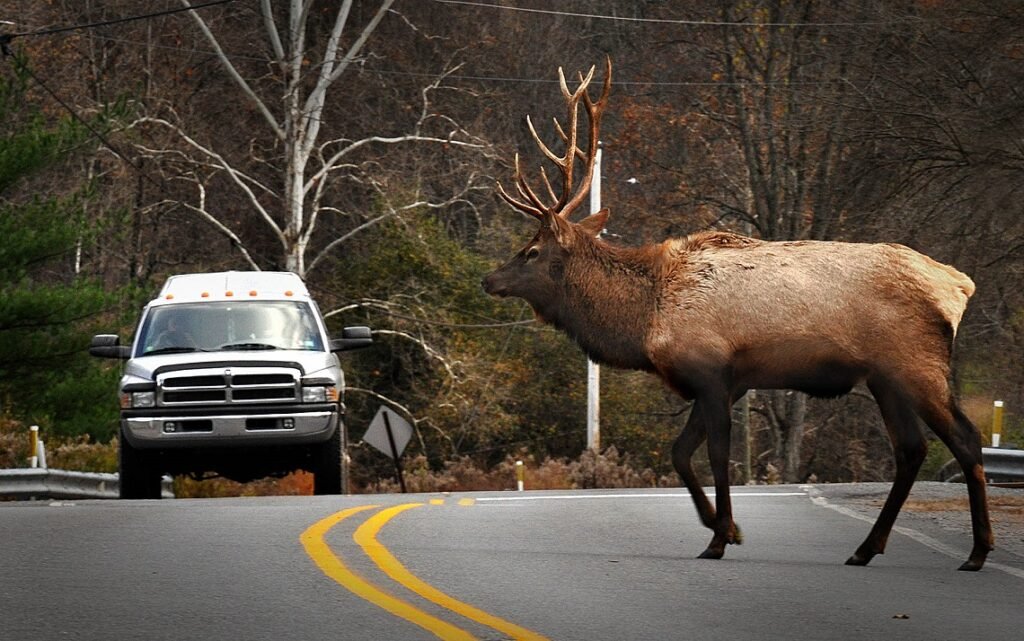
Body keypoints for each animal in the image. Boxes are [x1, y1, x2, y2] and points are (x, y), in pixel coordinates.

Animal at [483, 59, 995, 569]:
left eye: (531, 251)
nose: (489, 280)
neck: (646, 322)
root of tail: (958, 286)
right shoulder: (731, 383)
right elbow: (679, 453)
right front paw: (726, 527)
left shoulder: (711, 371)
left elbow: (715, 456)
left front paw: (719, 537)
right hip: (885, 379)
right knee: (911, 450)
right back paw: (866, 549)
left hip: (916, 365)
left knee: (965, 438)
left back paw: (977, 551)